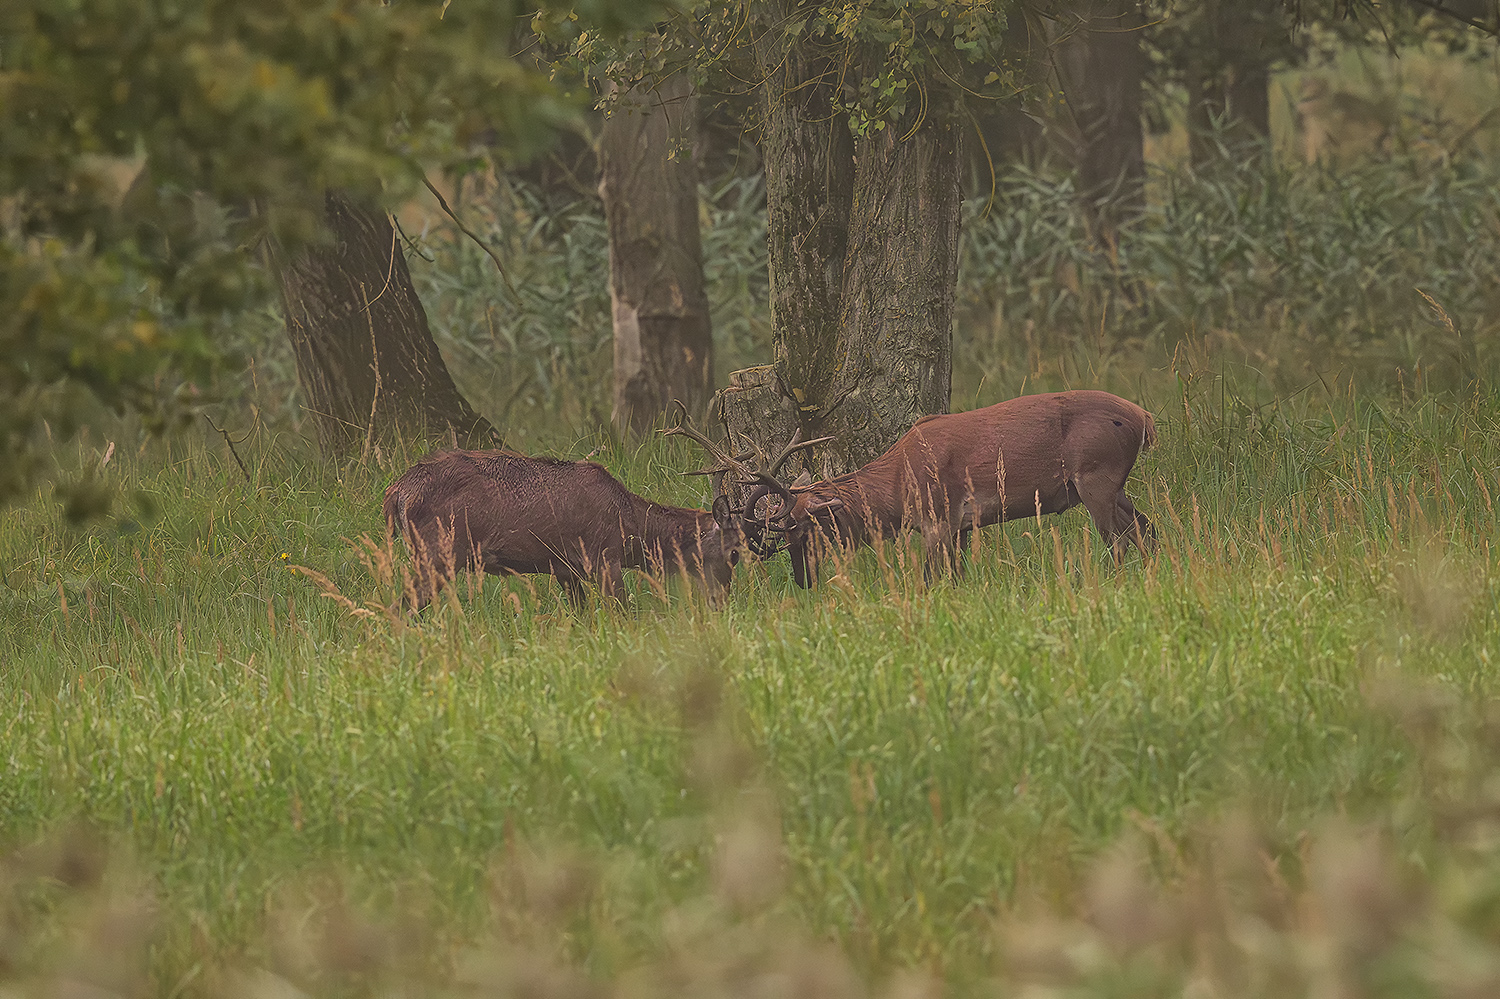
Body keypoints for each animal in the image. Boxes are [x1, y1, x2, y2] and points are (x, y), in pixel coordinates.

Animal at [747, 390, 1158, 588]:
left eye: (804, 530)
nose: (802, 581)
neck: (897, 491)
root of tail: (1144, 418)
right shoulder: (961, 526)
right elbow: (957, 575)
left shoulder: (938, 518)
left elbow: (931, 578)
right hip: (1114, 487)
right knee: (1146, 529)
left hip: (1096, 477)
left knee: (1119, 539)